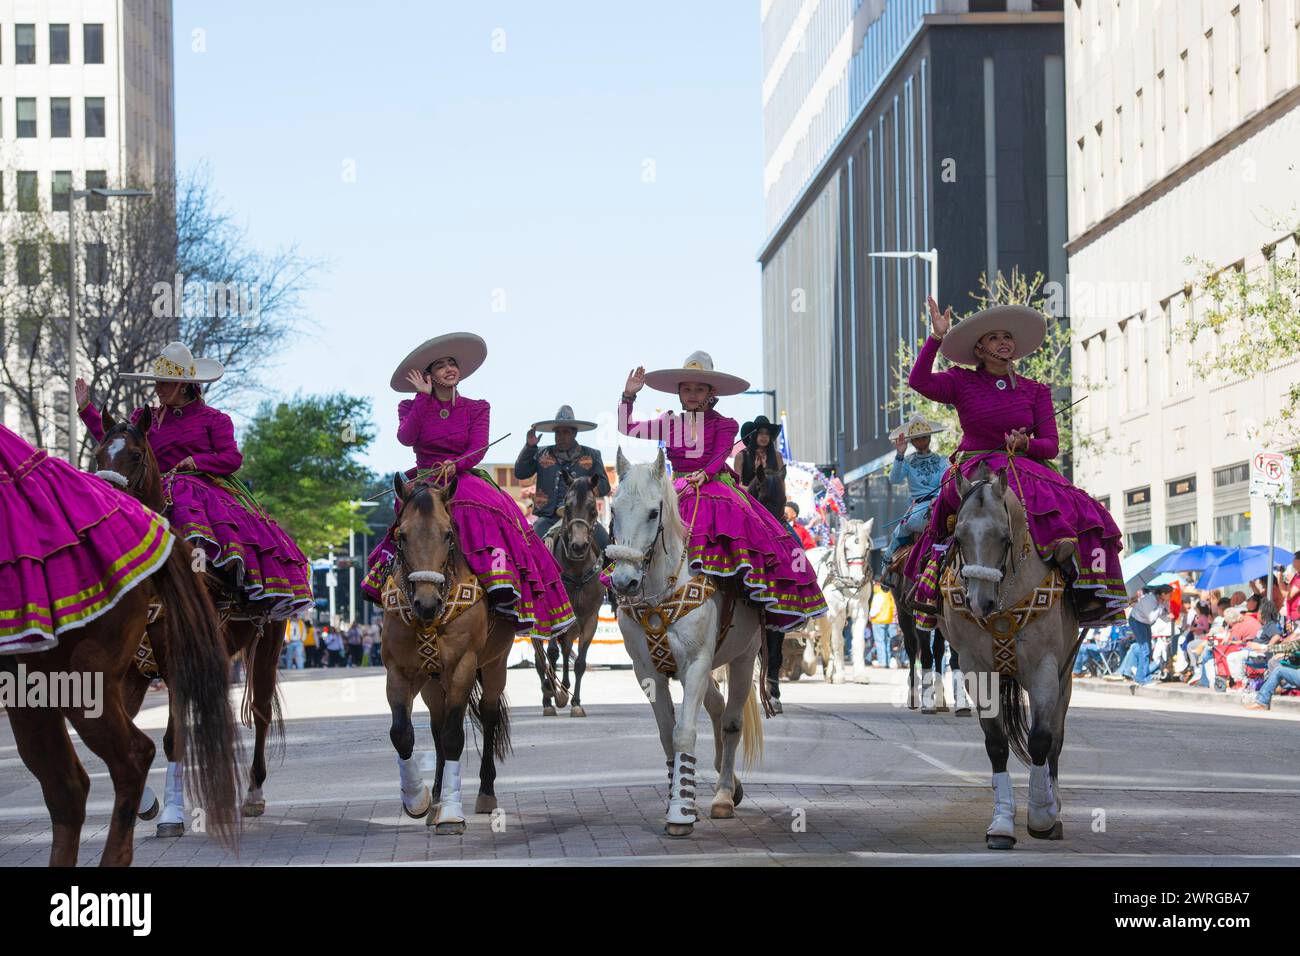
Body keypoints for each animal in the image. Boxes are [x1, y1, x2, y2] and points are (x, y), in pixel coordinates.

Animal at [92, 411, 289, 837]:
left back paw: (253, 793)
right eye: (99, 452)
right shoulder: (128, 672)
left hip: (268, 644)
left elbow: (173, 740)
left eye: (135, 455)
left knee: (261, 713)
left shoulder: (178, 665)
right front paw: (147, 805)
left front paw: (171, 815)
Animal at [377, 476, 512, 832]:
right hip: (431, 683)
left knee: (488, 715)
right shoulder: (398, 671)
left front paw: (451, 815)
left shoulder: (463, 667)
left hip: (495, 666)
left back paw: (485, 792)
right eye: (401, 535)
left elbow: (453, 737)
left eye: (448, 533)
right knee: (436, 726)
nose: (426, 603)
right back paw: (436, 796)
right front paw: (418, 799)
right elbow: (402, 733)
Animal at [533, 470, 603, 717]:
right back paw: (548, 698)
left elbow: (580, 661)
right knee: (541, 658)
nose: (578, 546)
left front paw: (576, 702)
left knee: (565, 650)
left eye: (592, 508)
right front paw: (553, 692)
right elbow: (551, 653)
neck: (577, 571)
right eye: (568, 506)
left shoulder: (590, 618)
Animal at [605, 447, 759, 837]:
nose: (625, 581)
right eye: (614, 510)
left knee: (731, 720)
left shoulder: (696, 664)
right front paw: (679, 797)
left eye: (653, 512)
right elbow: (666, 735)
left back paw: (723, 795)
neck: (661, 592)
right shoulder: (648, 672)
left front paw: (680, 813)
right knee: (717, 707)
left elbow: (684, 733)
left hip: (743, 657)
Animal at [806, 520, 878, 686]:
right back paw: (810, 663)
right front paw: (838, 675)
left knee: (823, 637)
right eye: (847, 548)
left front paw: (860, 675)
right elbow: (838, 642)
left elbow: (858, 643)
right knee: (811, 633)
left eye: (867, 548)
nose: (857, 578)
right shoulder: (836, 614)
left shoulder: (861, 612)